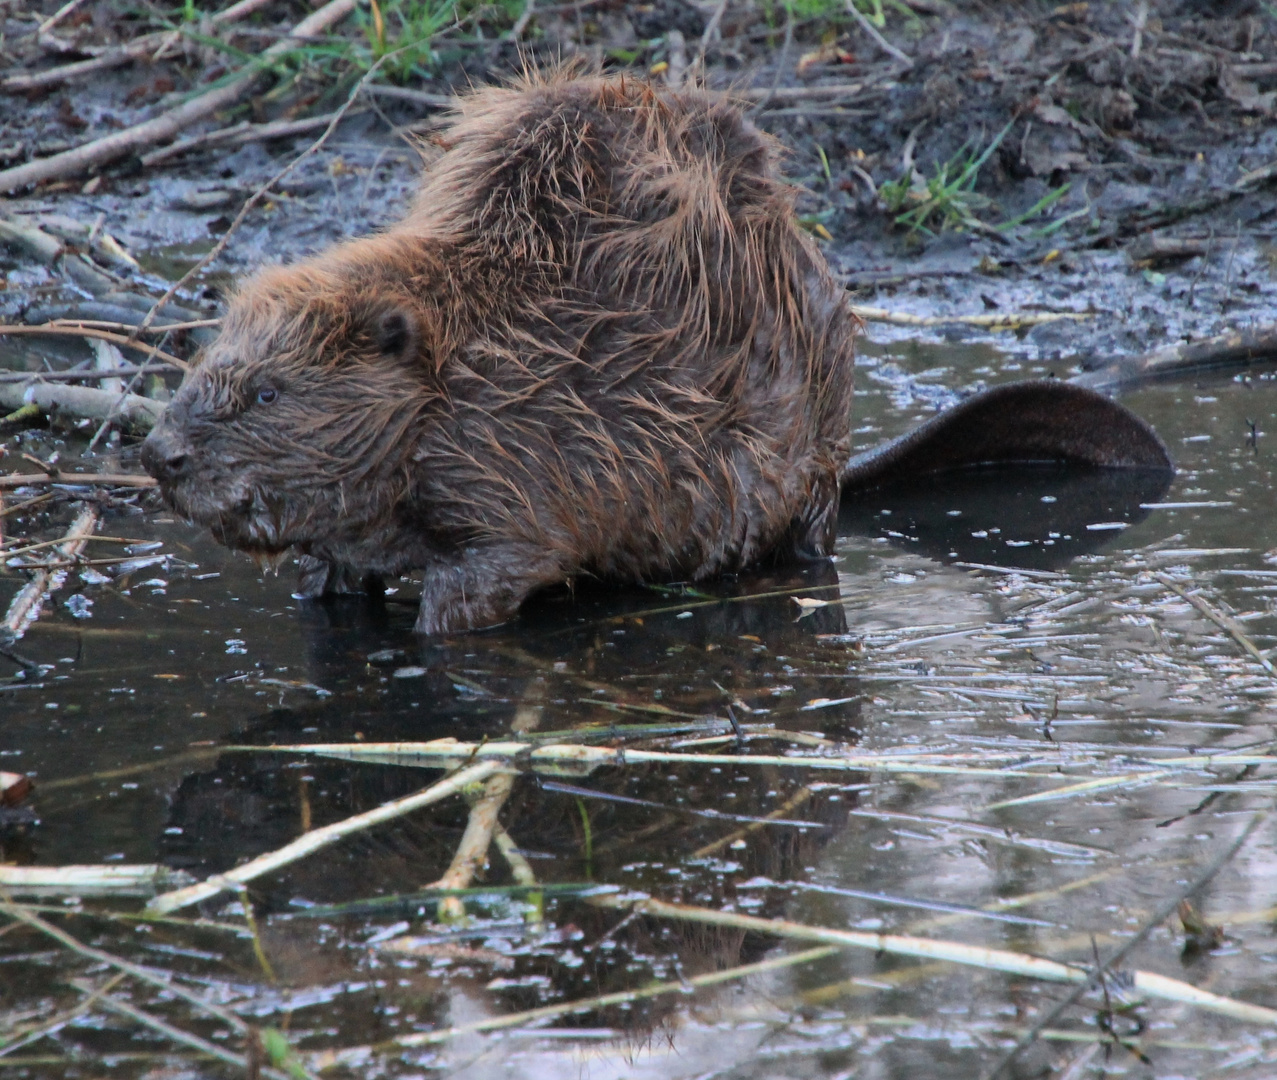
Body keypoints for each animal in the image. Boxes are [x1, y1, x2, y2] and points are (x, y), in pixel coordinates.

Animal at [139, 71, 1169, 633]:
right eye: (205, 370)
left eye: (268, 395)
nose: (160, 454)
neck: (469, 365)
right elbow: (333, 577)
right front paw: (321, 589)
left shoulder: (517, 473)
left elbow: (490, 575)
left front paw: (432, 624)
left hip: (803, 464)